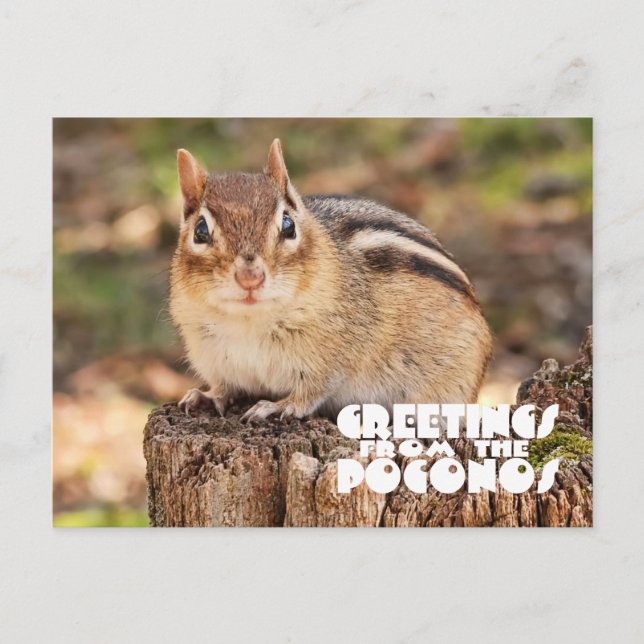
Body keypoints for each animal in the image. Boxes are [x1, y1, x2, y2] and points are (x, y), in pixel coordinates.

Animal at [170, 139, 493, 422]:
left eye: (288, 225)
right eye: (200, 231)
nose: (250, 278)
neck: (248, 322)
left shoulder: (329, 359)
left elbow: (312, 391)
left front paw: (278, 406)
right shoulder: (213, 358)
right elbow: (225, 386)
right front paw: (207, 396)